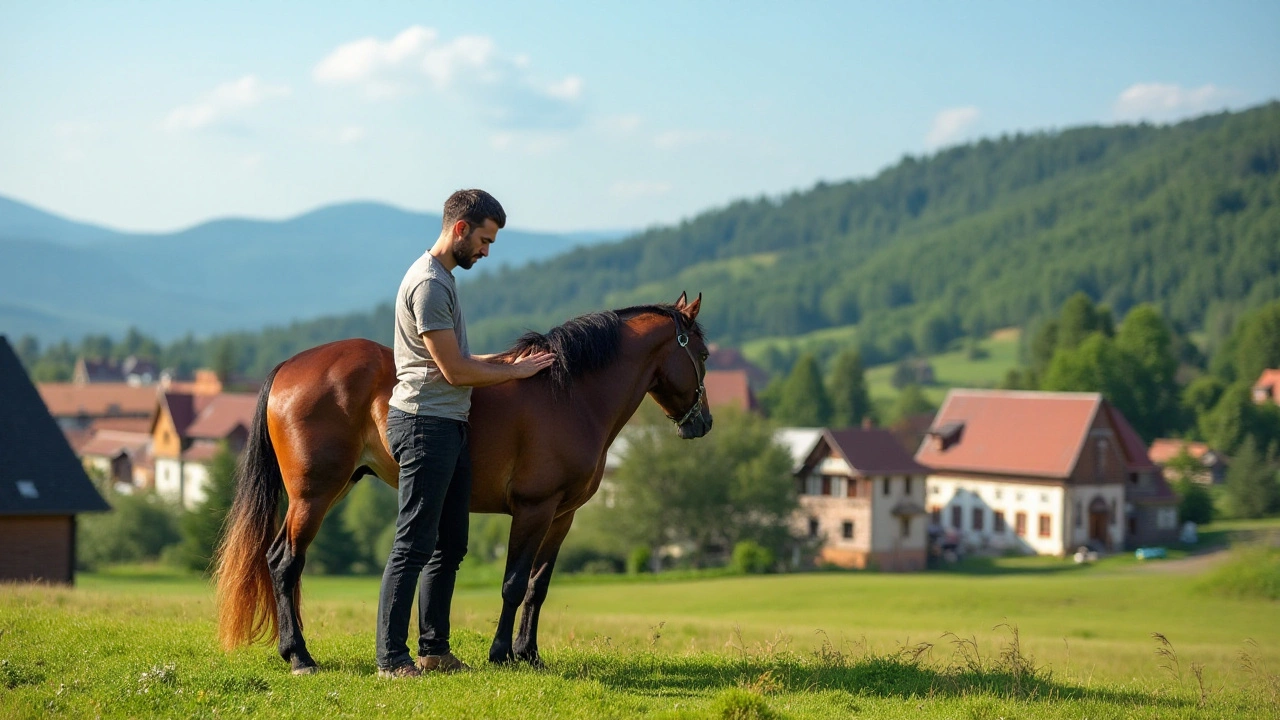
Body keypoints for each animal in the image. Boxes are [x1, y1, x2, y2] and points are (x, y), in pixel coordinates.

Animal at [211, 292, 711, 671]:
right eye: (703, 355)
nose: (702, 423)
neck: (569, 393)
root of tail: (289, 365)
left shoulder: (562, 516)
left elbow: (538, 587)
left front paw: (530, 654)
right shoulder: (533, 508)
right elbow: (513, 583)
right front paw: (502, 653)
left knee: (279, 559)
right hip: (313, 495)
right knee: (285, 563)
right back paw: (300, 656)